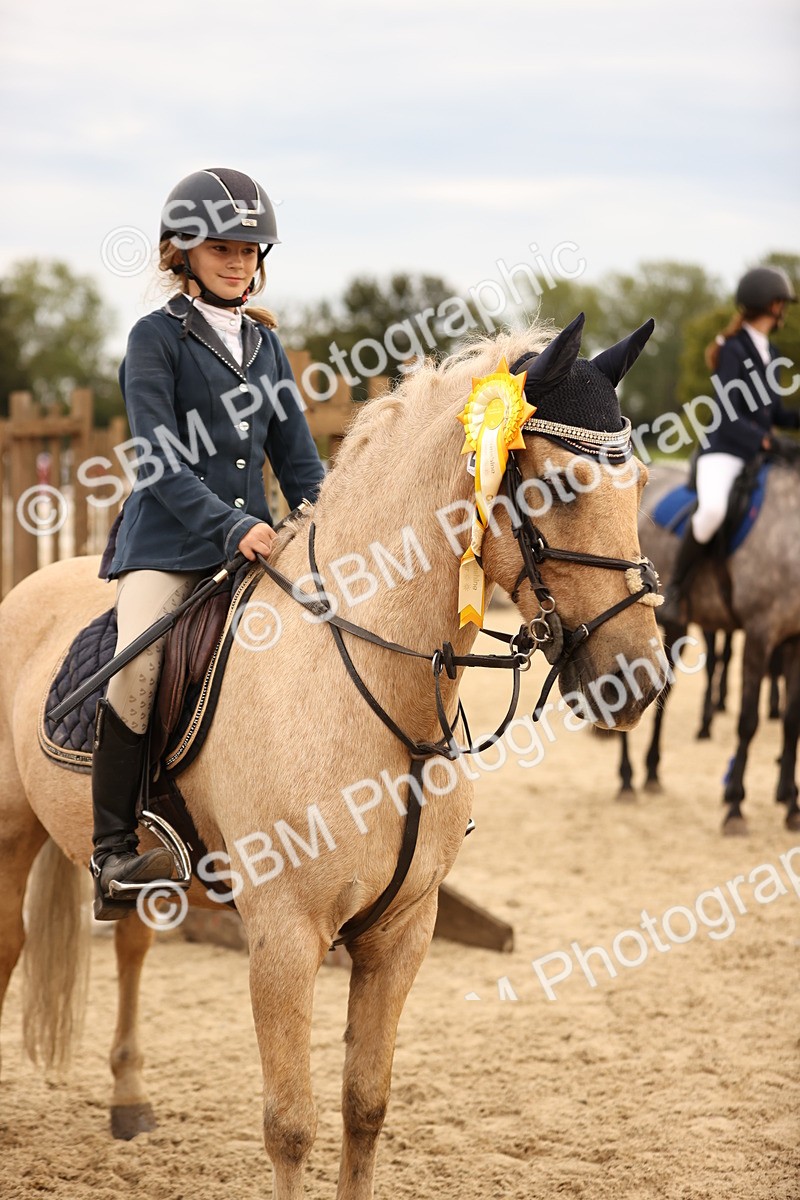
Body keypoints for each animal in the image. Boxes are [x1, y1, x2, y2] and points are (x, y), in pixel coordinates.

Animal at [0, 315, 663, 1200]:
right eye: (557, 490)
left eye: (641, 481)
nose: (640, 679)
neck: (381, 692)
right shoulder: (284, 937)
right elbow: (291, 1126)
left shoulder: (402, 933)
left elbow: (365, 1106)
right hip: (11, 833)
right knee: (9, 945)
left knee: (134, 943)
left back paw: (130, 1101)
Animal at [618, 460, 800, 832]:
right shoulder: (759, 634)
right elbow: (748, 720)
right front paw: (735, 807)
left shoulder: (794, 640)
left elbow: (792, 721)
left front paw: (792, 808)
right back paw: (627, 778)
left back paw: (652, 771)